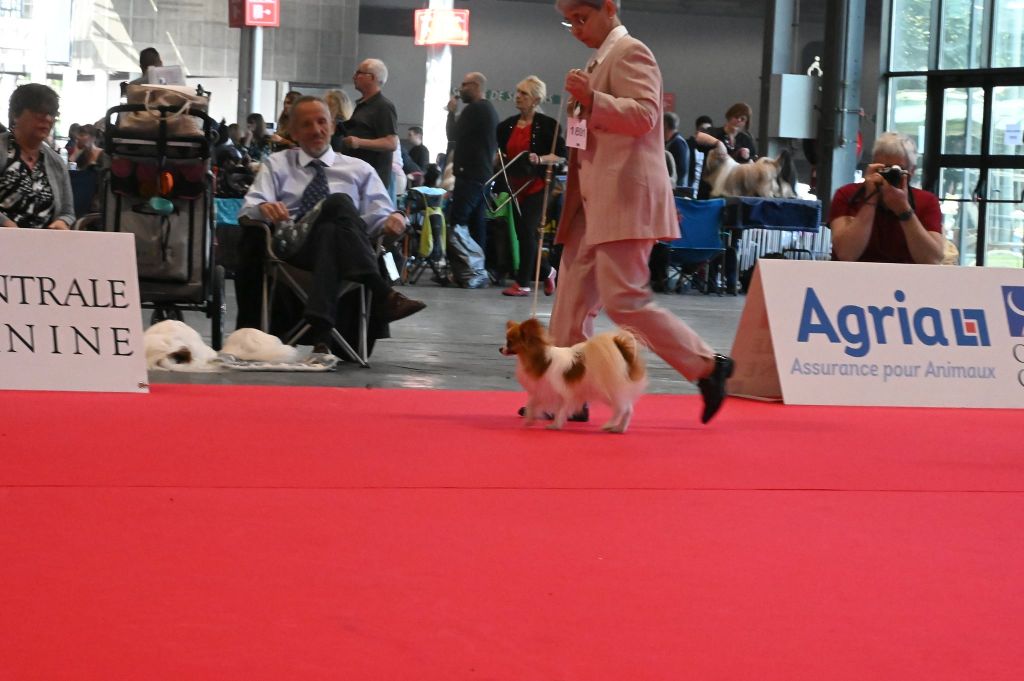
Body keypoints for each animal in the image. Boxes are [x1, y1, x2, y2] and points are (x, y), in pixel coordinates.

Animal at [497, 317, 647, 432]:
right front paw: (529, 420)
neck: (542, 360)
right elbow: (531, 404)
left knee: (621, 409)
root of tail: (623, 352)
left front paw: (555, 425)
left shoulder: (564, 393)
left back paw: (609, 425)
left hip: (607, 391)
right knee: (628, 409)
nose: (500, 348)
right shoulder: (542, 389)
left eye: (510, 342)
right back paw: (619, 429)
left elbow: (560, 410)